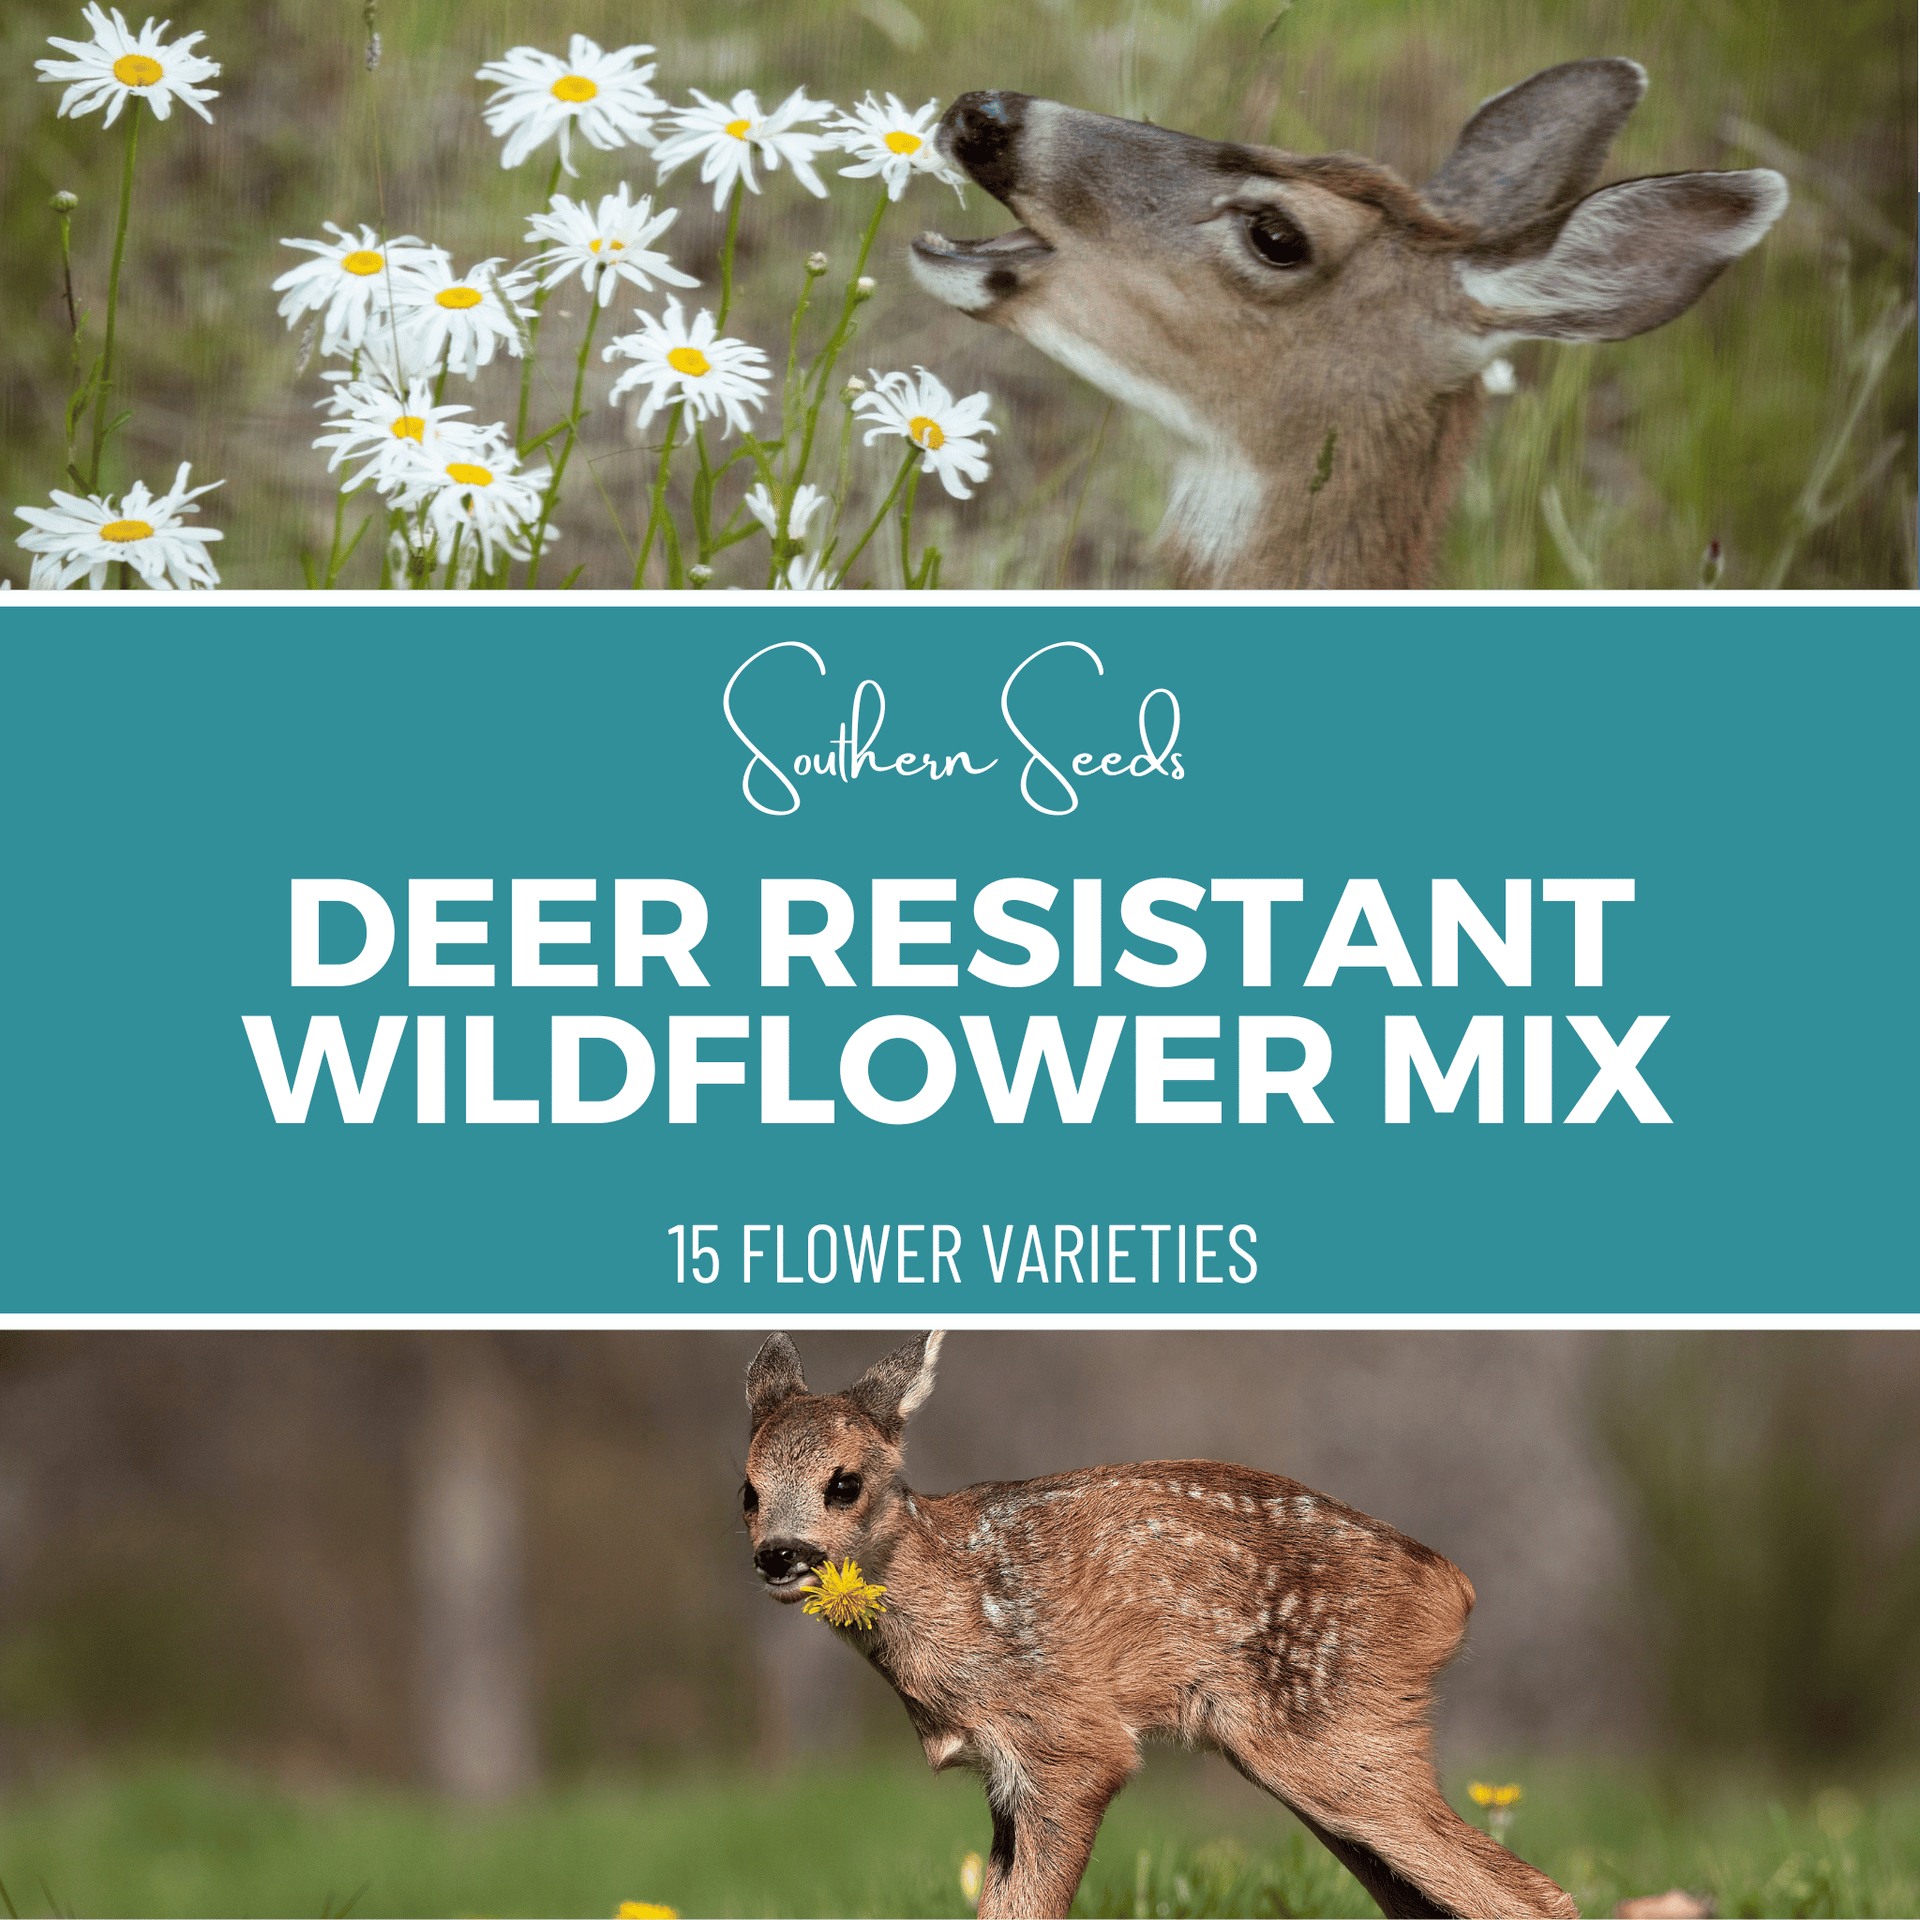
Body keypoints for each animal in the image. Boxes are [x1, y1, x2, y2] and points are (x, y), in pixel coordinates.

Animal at [742, 1330, 1576, 1920]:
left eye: (844, 1484)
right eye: (748, 1490)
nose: (778, 1554)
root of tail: (1451, 1589)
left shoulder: (1071, 1743)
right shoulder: (1006, 1774)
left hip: (1338, 1735)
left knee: (1535, 1896)